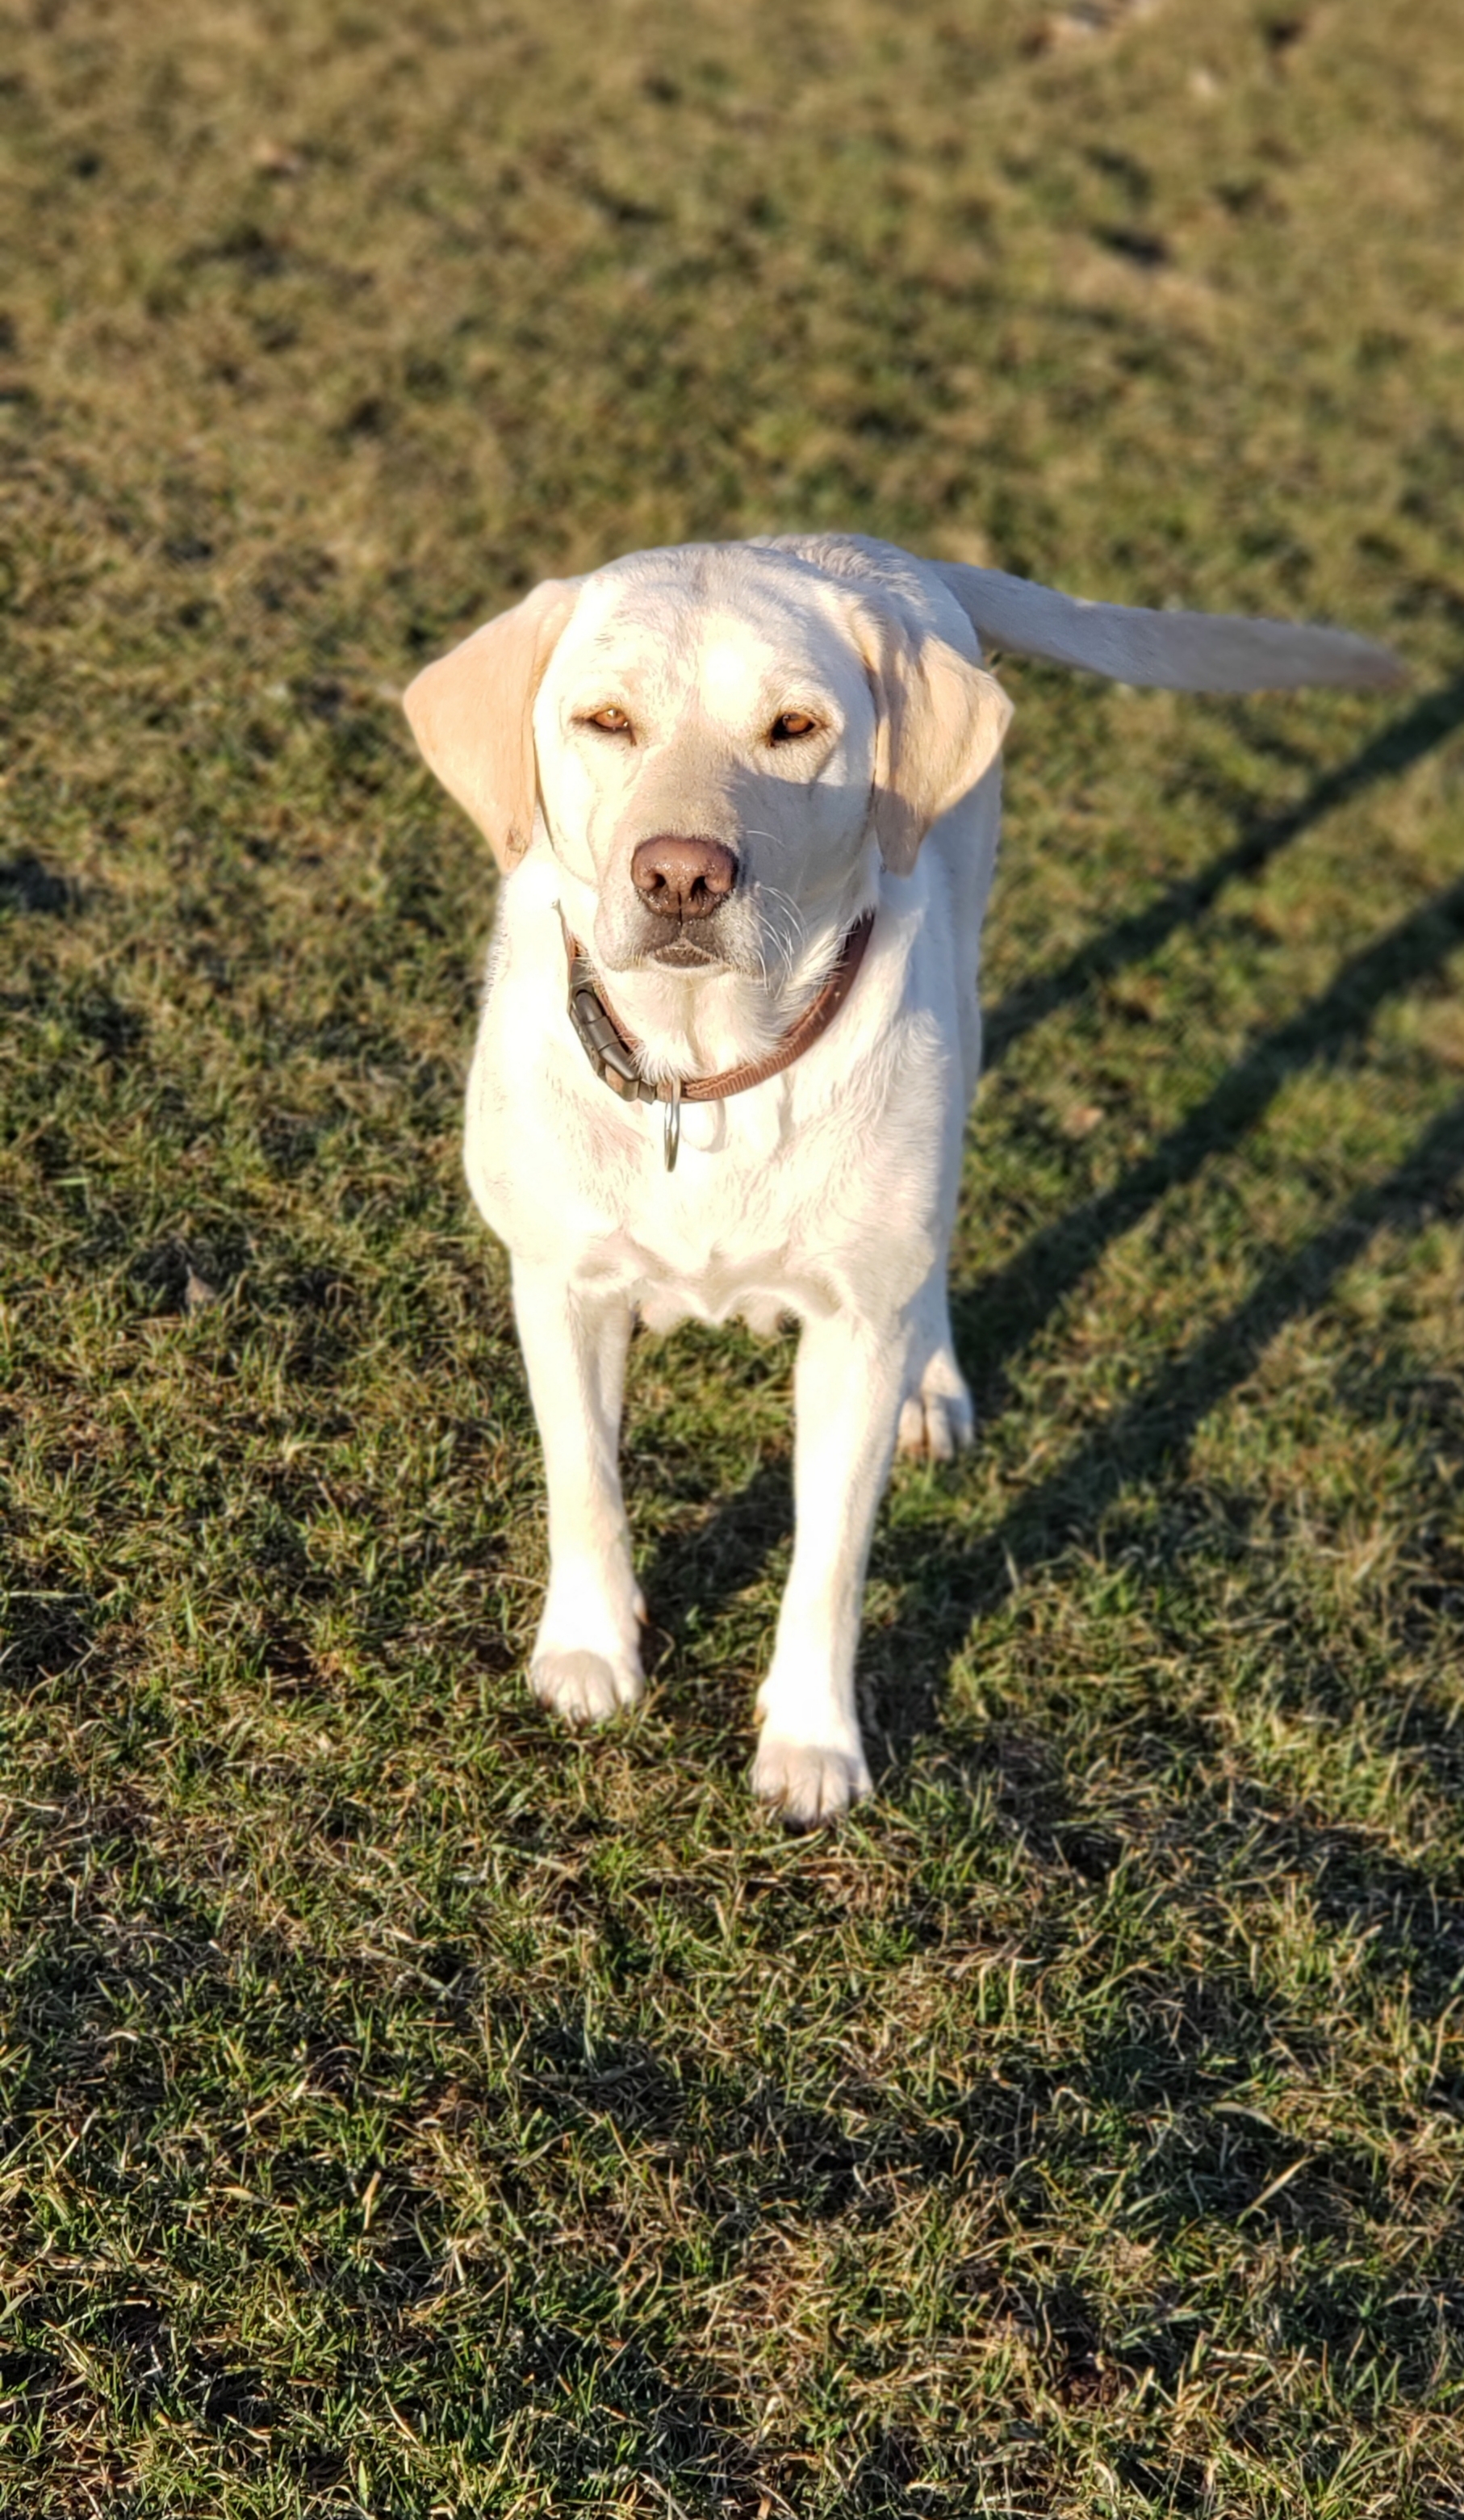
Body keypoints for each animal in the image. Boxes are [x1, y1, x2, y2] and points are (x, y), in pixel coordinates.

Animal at [404, 535, 1399, 1822]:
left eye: (793, 727)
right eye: (605, 720)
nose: (682, 876)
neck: (705, 1069)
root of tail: (878, 552)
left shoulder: (850, 1339)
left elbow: (830, 1556)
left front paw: (812, 1743)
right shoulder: (557, 1283)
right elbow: (583, 1475)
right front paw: (587, 1650)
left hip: (956, 1018)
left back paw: (935, 1380)